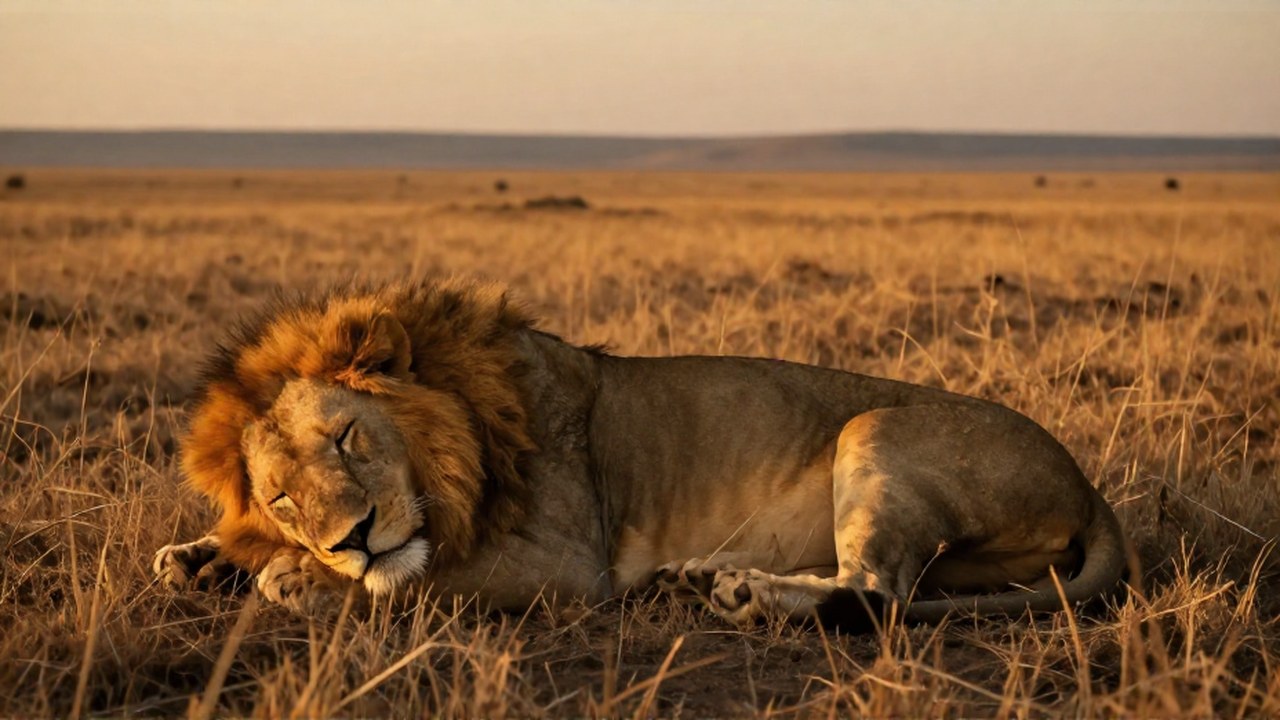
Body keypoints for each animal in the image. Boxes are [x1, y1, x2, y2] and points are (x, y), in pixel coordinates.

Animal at [154, 279, 1129, 629]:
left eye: (349, 437)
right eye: (281, 499)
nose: (348, 538)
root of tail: (1090, 490)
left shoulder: (564, 564)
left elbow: (422, 577)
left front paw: (301, 578)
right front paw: (203, 557)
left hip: (875, 429)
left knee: (879, 592)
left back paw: (745, 596)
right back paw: (705, 577)